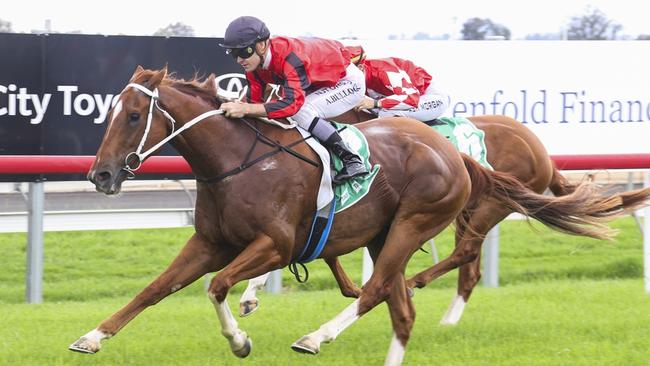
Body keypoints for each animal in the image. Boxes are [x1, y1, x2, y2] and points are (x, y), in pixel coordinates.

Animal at [69, 66, 648, 366]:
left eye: (135, 115)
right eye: (109, 112)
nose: (101, 175)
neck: (238, 161)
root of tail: (455, 154)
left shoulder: (274, 244)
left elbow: (217, 286)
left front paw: (240, 338)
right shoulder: (210, 242)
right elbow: (155, 289)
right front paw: (92, 337)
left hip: (436, 217)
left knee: (397, 284)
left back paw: (320, 334)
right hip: (389, 232)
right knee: (400, 304)